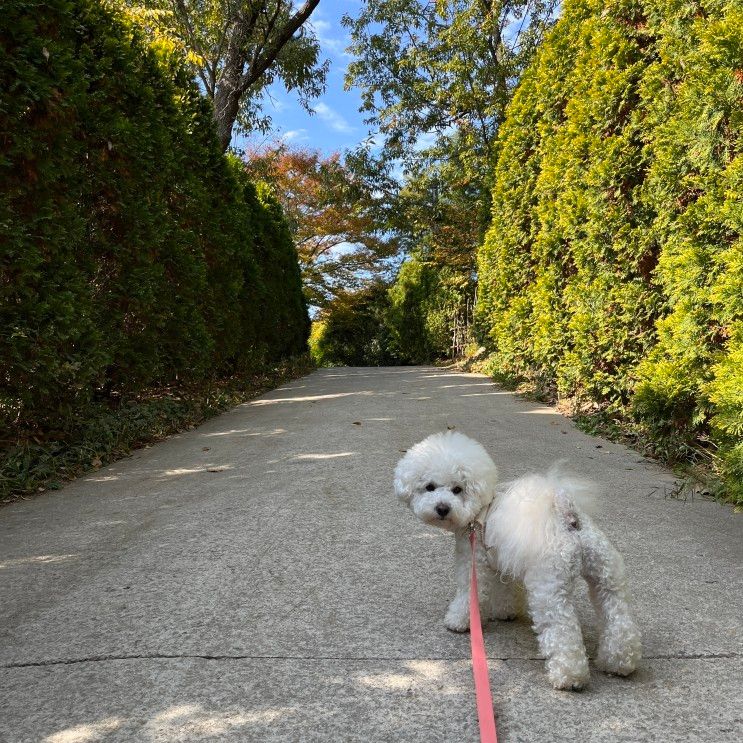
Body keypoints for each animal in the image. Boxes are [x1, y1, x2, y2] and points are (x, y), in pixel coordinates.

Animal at [392, 430, 644, 692]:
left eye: (458, 489)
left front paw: (458, 622)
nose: (442, 508)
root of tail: (568, 517)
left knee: (563, 632)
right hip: (607, 577)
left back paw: (569, 677)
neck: (478, 513)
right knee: (620, 620)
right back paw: (618, 663)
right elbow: (505, 591)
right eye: (429, 487)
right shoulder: (500, 562)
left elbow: (468, 595)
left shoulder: (474, 563)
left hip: (550, 590)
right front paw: (506, 613)